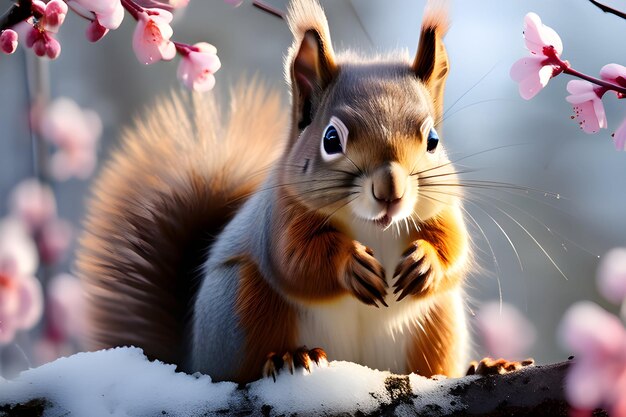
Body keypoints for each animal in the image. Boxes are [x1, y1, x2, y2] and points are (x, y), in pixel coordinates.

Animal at [77, 0, 478, 384]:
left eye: (433, 140)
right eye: (331, 139)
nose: (390, 191)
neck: (372, 227)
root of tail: (191, 358)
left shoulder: (443, 209)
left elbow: (455, 248)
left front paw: (426, 261)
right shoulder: (281, 215)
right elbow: (296, 261)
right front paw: (351, 264)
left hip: (438, 325)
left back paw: (482, 366)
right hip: (241, 305)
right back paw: (291, 356)